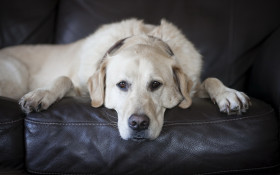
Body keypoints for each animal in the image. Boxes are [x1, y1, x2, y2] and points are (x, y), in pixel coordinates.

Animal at [0, 18, 249, 141]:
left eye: (156, 84)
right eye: (121, 85)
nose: (138, 124)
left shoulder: (194, 87)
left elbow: (210, 80)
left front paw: (228, 94)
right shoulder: (82, 87)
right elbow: (64, 79)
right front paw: (40, 94)